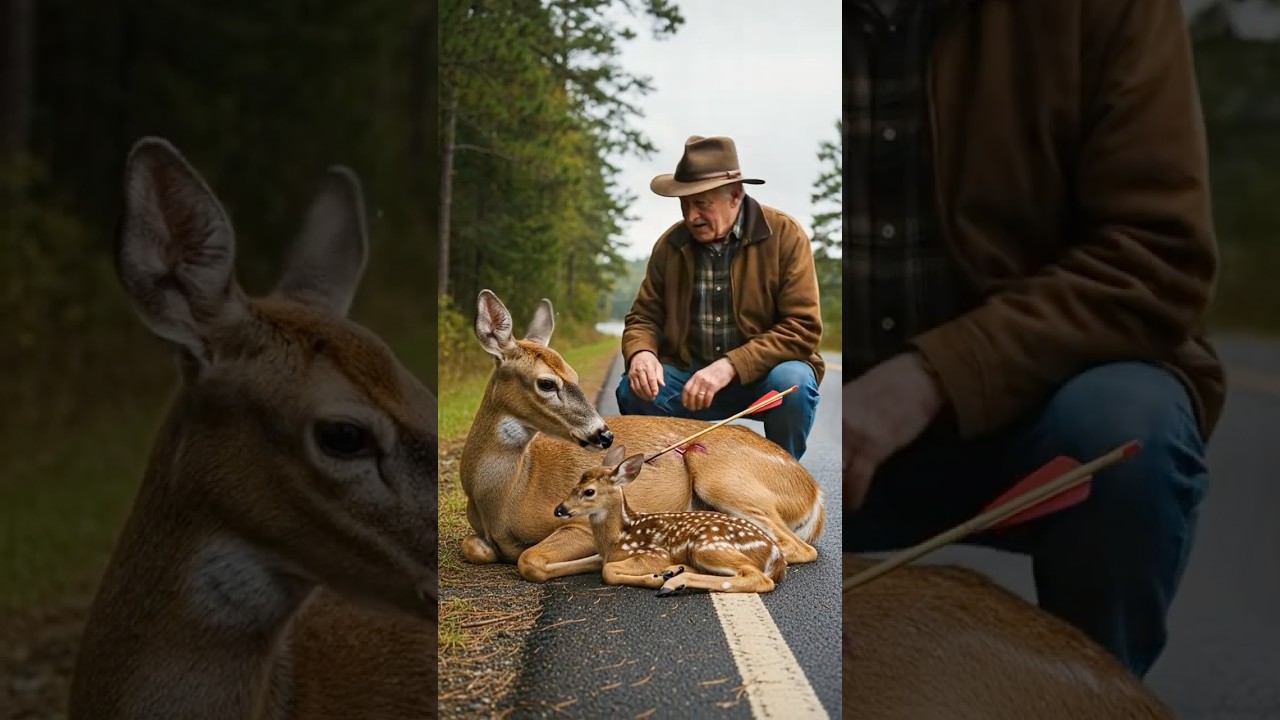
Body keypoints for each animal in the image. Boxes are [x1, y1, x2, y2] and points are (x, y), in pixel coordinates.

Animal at [553, 445, 787, 596]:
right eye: (575, 484)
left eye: (589, 491)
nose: (559, 509)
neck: (618, 537)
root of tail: (775, 556)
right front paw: (660, 575)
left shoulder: (654, 553)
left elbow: (607, 571)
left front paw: (654, 579)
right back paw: (673, 573)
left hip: (706, 545)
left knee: (757, 577)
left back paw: (673, 582)